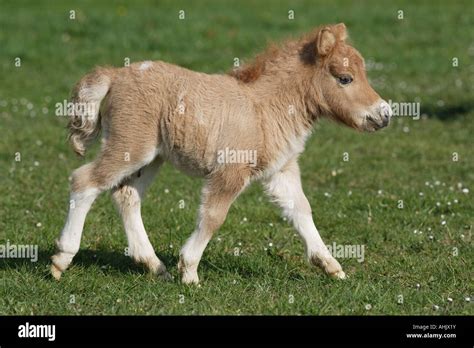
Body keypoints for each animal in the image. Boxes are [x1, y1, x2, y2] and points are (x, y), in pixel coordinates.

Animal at [51, 23, 392, 282]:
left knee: (126, 195)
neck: (265, 106)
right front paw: (189, 272)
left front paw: (331, 266)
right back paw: (61, 259)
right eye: (345, 78)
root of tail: (115, 75)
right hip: (130, 146)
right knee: (84, 180)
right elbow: (214, 216)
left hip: (152, 157)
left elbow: (301, 209)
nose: (385, 114)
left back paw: (154, 266)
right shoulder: (230, 170)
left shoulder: (280, 171)